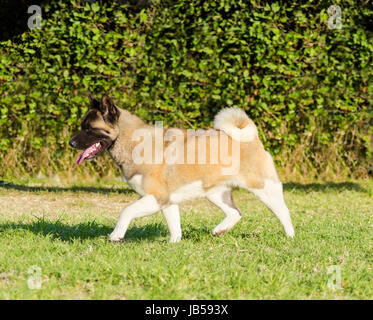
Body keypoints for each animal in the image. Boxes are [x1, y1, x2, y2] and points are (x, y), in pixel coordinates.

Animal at [69, 94, 294, 242]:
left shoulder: (156, 197)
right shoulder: (167, 200)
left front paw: (116, 235)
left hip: (263, 188)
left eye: (89, 128)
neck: (133, 141)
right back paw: (219, 230)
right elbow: (174, 225)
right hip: (215, 192)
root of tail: (251, 137)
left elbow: (126, 211)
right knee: (235, 213)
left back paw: (290, 236)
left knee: (283, 211)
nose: (71, 143)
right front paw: (174, 244)